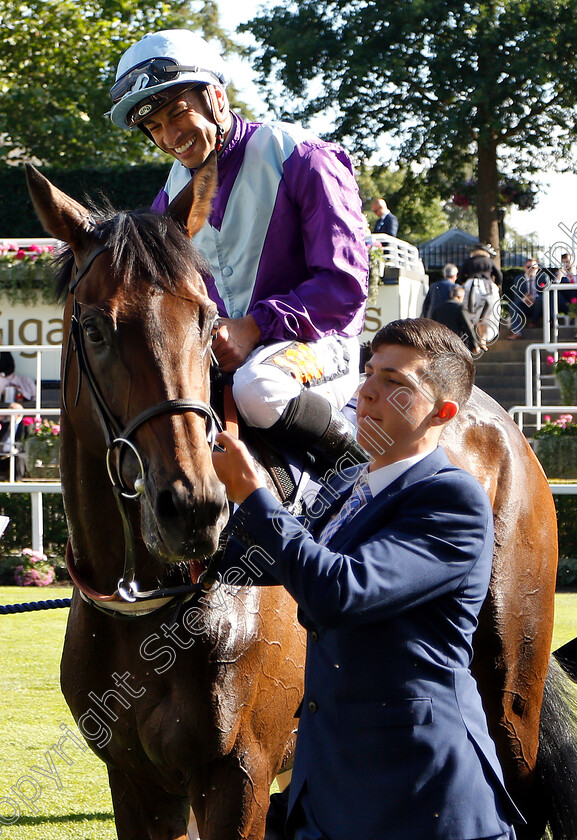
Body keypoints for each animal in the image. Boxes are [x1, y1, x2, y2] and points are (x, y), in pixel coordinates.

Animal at [25, 159, 576, 840]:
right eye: (96, 326)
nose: (192, 506)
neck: (154, 598)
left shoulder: (239, 774)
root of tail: (499, 420)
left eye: (205, 320)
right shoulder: (135, 781)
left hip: (510, 694)